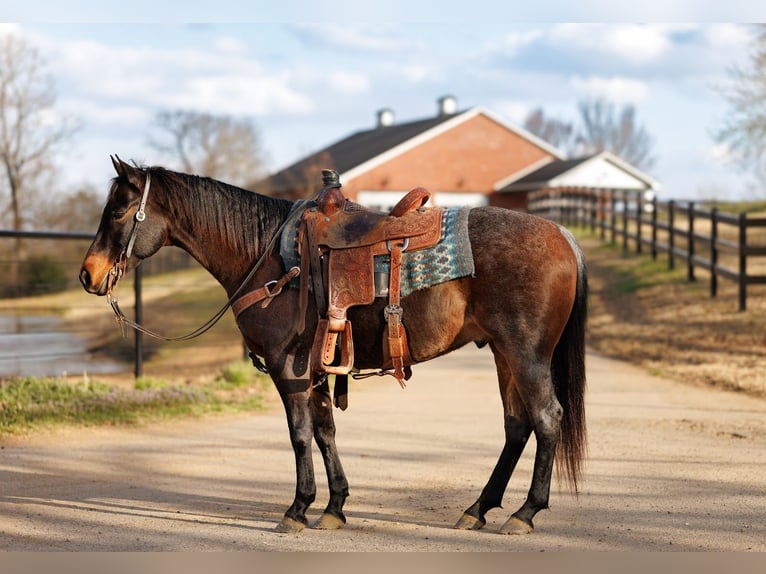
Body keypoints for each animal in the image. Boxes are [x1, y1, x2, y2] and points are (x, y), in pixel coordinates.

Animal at [80, 157, 588, 536]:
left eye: (119, 212)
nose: (88, 273)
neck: (268, 258)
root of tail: (563, 235)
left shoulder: (289, 368)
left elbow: (300, 434)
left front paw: (297, 509)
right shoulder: (318, 369)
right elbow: (325, 431)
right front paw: (334, 506)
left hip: (526, 354)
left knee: (546, 419)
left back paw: (525, 513)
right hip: (503, 353)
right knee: (516, 426)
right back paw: (479, 508)